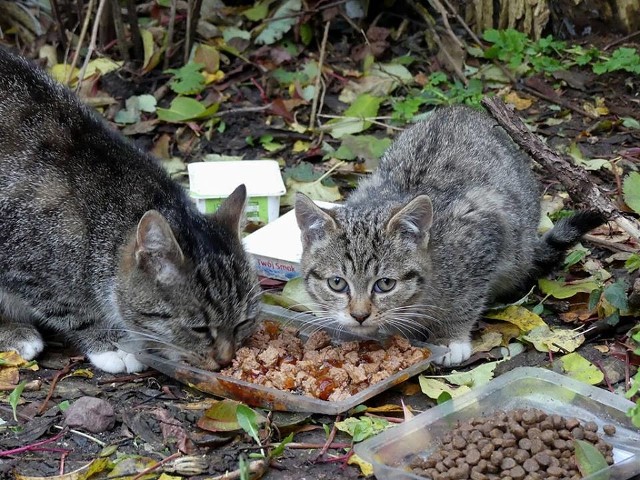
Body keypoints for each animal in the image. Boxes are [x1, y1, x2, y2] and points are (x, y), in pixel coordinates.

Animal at [0, 47, 260, 374]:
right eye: (199, 329)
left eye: (243, 323)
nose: (226, 359)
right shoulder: (23, 263)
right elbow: (70, 309)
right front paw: (110, 345)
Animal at [296, 107, 604, 366]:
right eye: (337, 283)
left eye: (385, 284)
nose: (359, 316)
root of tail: (459, 109)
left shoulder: (483, 234)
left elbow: (466, 300)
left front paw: (450, 338)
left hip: (517, 248)